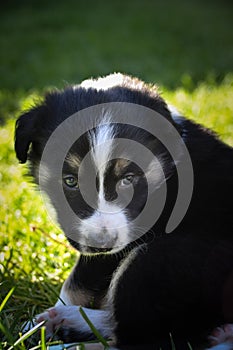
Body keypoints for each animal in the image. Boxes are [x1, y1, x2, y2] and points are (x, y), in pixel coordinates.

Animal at [14, 74, 233, 350]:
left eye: (128, 179)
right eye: (70, 181)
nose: (102, 243)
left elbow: (77, 282)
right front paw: (36, 325)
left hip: (158, 260)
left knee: (142, 340)